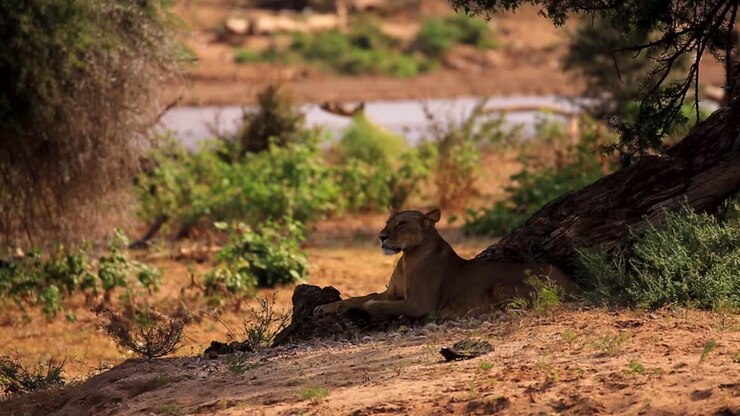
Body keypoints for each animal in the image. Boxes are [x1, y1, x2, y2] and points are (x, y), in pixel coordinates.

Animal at [314, 208, 574, 319]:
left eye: (402, 224)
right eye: (387, 221)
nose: (381, 237)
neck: (407, 259)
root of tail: (570, 280)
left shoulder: (420, 304)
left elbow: (375, 305)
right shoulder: (391, 293)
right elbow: (359, 297)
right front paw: (325, 307)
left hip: (501, 285)